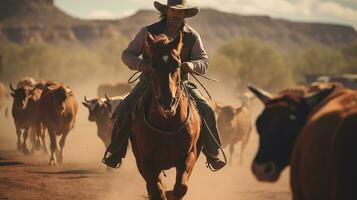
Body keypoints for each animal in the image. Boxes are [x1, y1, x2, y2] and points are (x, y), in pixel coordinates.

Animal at [131, 32, 203, 199]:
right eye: (153, 64)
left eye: (177, 64)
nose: (167, 102)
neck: (167, 125)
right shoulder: (146, 161)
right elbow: (156, 190)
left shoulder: (189, 156)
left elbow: (180, 188)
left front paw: (171, 193)